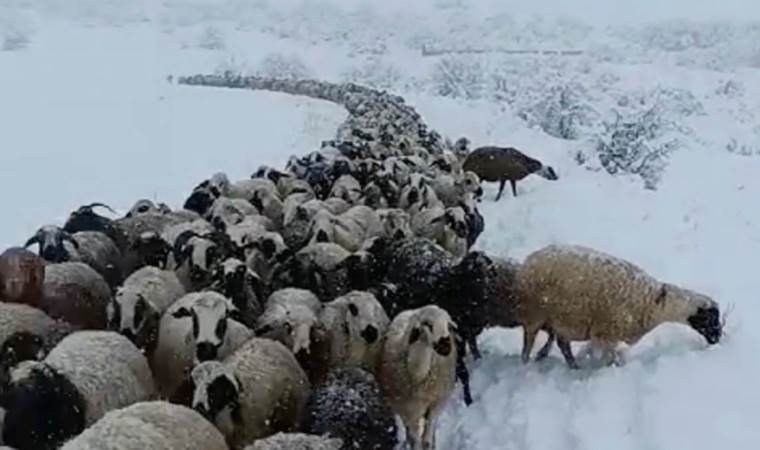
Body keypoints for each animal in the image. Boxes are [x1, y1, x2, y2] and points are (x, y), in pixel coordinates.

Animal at [380, 304, 458, 450]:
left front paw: (430, 444)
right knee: (409, 433)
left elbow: (426, 440)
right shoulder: (410, 411)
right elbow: (416, 441)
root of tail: (412, 310)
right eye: (427, 324)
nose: (446, 346)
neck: (418, 376)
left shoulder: (437, 403)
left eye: (448, 325)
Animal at [512, 244, 720, 368]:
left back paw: (570, 365)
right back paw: (527, 364)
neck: (655, 302)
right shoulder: (605, 334)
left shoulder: (600, 334)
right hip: (534, 315)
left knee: (561, 343)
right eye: (709, 318)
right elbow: (610, 357)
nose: (716, 338)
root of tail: (528, 260)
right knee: (528, 344)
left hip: (561, 318)